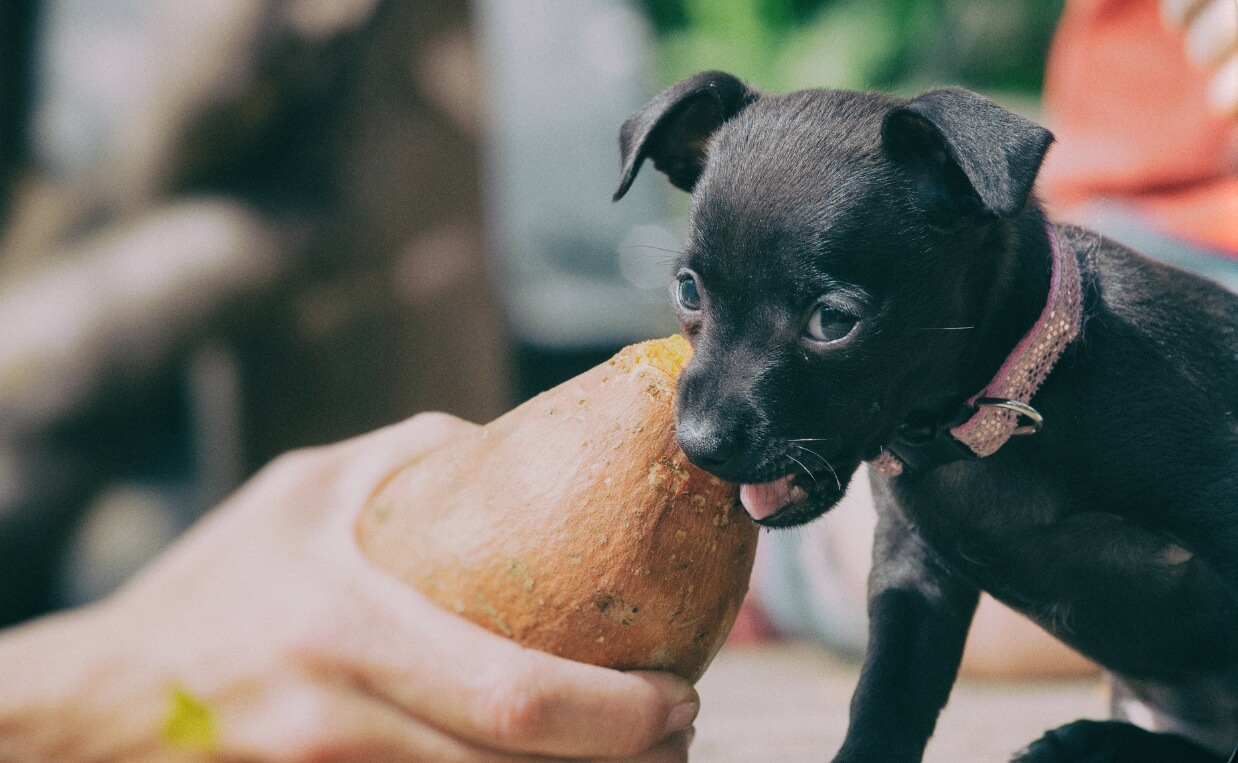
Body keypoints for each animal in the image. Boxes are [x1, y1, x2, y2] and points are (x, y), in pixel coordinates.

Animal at [614, 69, 1233, 758]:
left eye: (832, 321)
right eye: (688, 291)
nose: (699, 444)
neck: (991, 422)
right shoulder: (913, 577)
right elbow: (887, 698)